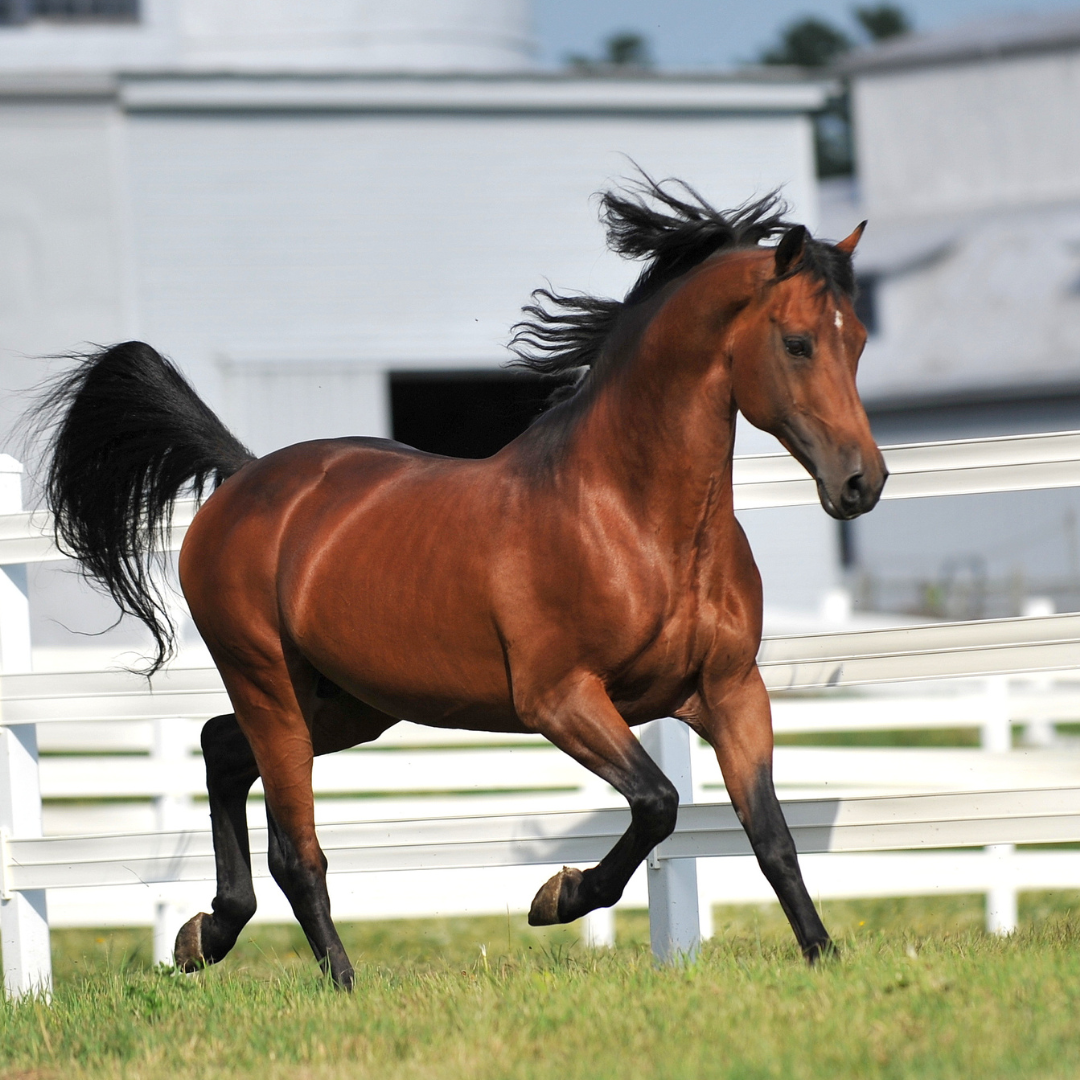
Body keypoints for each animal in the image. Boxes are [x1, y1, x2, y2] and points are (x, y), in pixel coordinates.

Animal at [31, 178, 885, 988]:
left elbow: (771, 836)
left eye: (860, 341)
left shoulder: (731, 691)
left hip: (349, 704)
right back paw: (337, 982)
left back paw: (203, 934)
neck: (634, 519)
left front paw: (823, 957)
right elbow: (658, 804)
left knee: (219, 748)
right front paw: (558, 898)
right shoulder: (561, 699)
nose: (861, 483)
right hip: (268, 684)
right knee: (295, 849)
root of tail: (244, 478)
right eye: (799, 343)